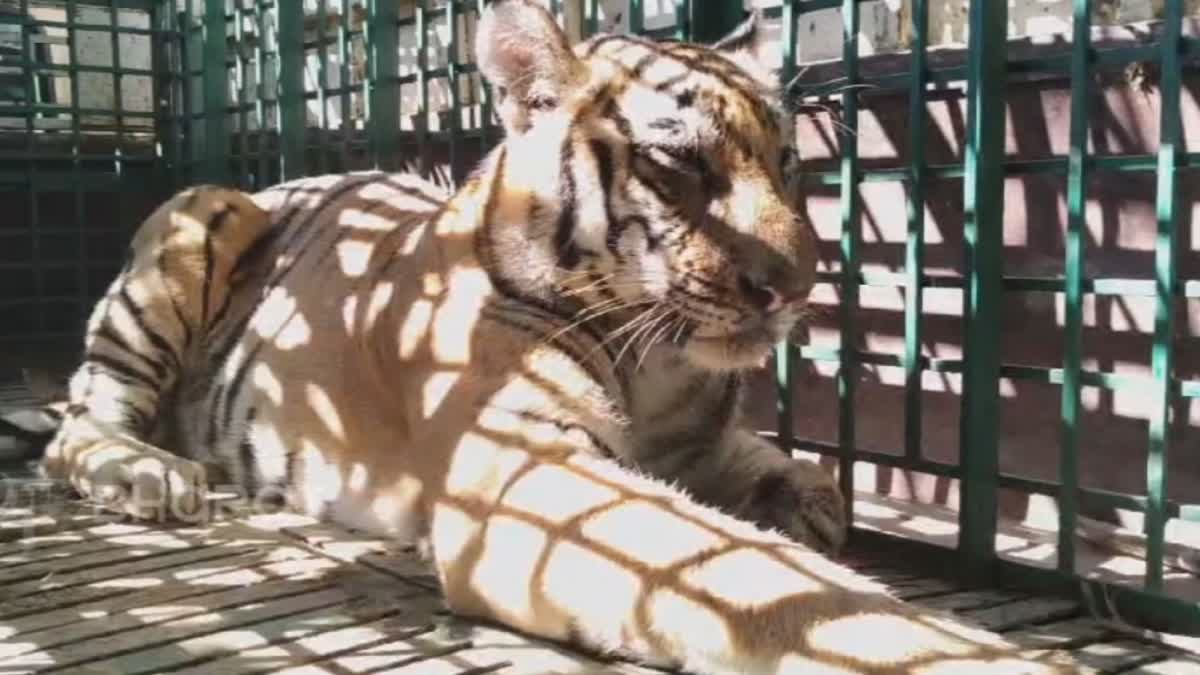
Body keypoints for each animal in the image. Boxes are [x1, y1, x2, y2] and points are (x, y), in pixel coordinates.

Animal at [42, 2, 1080, 667]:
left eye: (788, 163)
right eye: (680, 166)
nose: (794, 287)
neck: (665, 363)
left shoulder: (691, 439)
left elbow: (795, 481)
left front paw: (801, 501)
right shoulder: (526, 472)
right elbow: (758, 577)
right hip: (201, 215)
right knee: (75, 421)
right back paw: (148, 472)